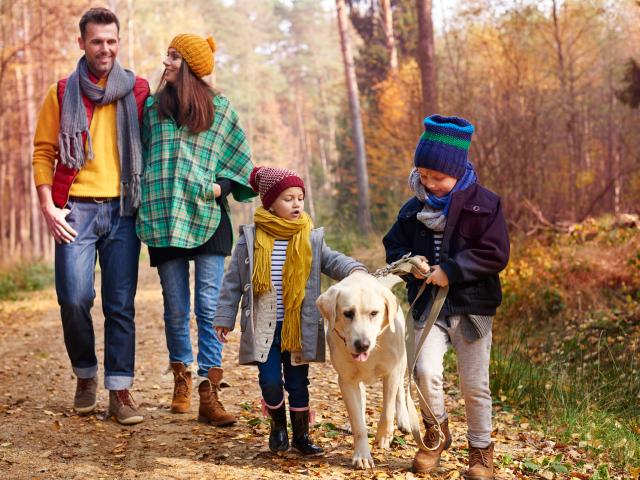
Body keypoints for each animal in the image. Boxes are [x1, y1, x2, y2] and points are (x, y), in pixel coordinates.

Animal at [316, 270, 410, 468]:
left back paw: (403, 420)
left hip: (403, 361)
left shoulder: (392, 372)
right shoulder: (346, 381)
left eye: (374, 313)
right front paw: (362, 455)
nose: (362, 345)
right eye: (348, 313)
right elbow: (358, 423)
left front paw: (384, 436)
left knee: (399, 389)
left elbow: (388, 409)